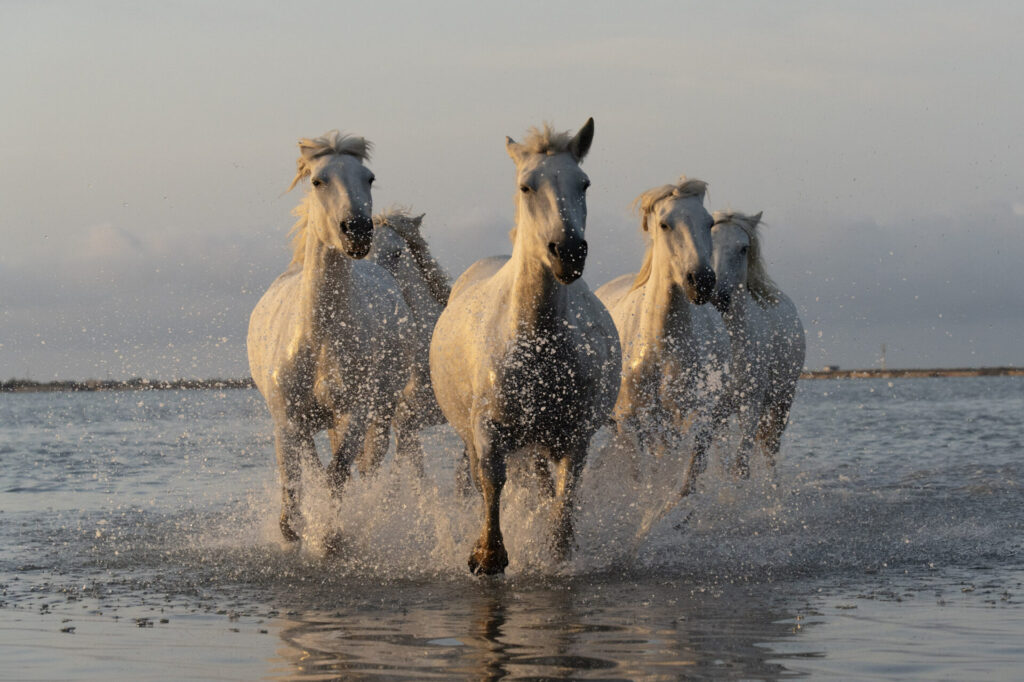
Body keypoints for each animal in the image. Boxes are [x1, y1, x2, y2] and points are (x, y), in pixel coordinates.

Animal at [247, 130, 414, 542]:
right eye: (317, 180)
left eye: (369, 177)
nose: (357, 231)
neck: (320, 342)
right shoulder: (288, 421)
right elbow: (298, 479)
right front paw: (294, 530)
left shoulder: (354, 414)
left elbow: (338, 474)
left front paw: (330, 537)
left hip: (382, 408)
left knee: (366, 465)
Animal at [429, 118, 621, 575]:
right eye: (526, 186)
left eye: (584, 183)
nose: (567, 252)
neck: (537, 345)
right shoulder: (488, 429)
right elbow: (491, 481)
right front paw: (487, 555)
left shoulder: (574, 436)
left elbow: (565, 497)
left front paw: (556, 553)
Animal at [595, 177, 729, 497]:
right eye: (665, 224)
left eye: (708, 223)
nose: (701, 281)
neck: (659, 350)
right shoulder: (631, 424)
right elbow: (638, 477)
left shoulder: (682, 421)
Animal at [710, 211, 805, 474]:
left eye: (744, 248)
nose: (719, 297)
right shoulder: (716, 409)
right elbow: (721, 460)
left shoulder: (750, 404)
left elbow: (741, 465)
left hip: (782, 399)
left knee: (769, 447)